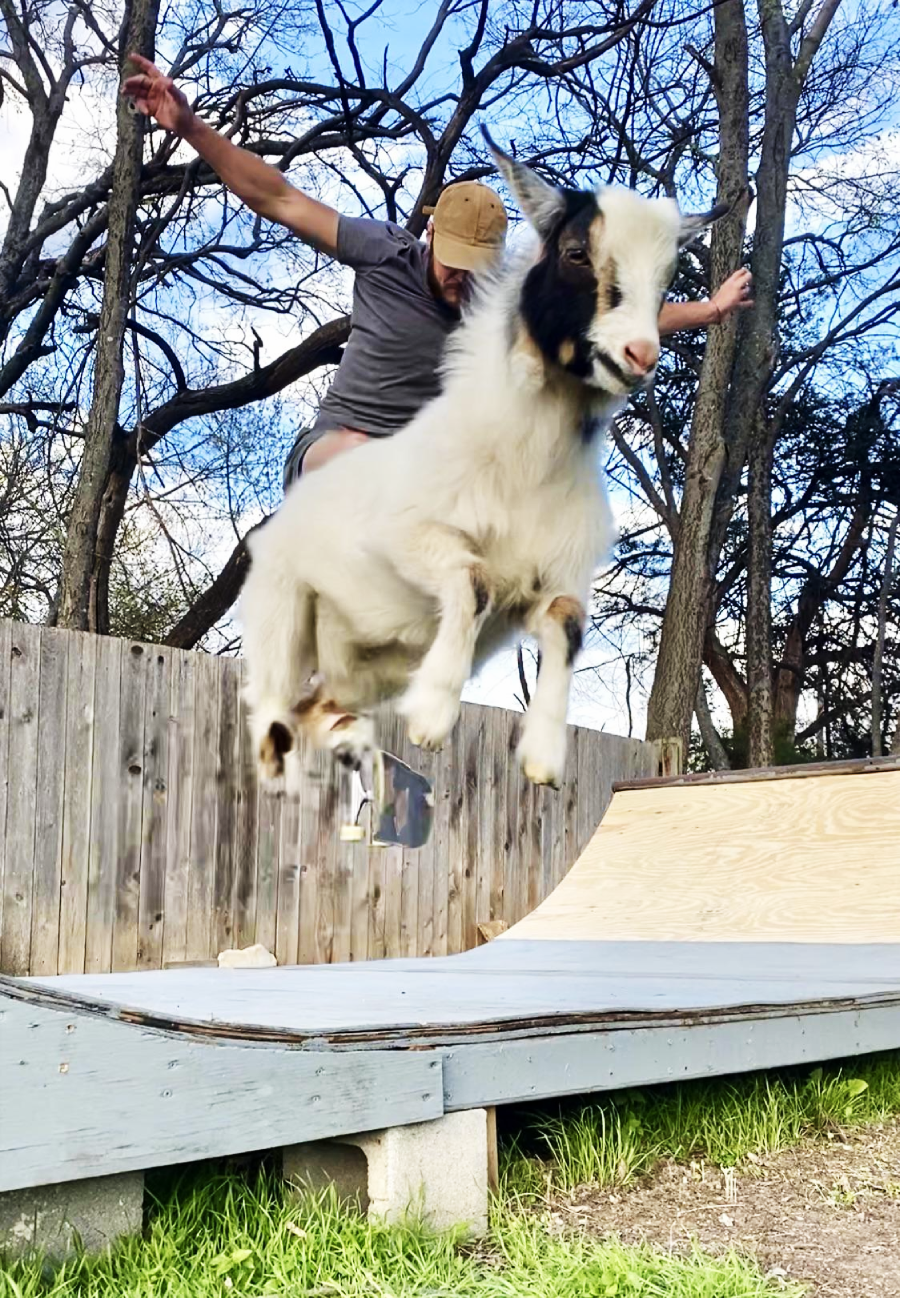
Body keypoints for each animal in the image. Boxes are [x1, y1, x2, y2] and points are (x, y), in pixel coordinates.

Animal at [238, 131, 725, 789]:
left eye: (670, 275)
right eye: (576, 252)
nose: (640, 354)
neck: (522, 467)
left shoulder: (548, 584)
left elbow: (566, 622)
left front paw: (542, 755)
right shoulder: (403, 536)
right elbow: (474, 580)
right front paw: (431, 715)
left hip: (357, 674)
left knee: (319, 705)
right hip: (282, 617)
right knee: (271, 708)